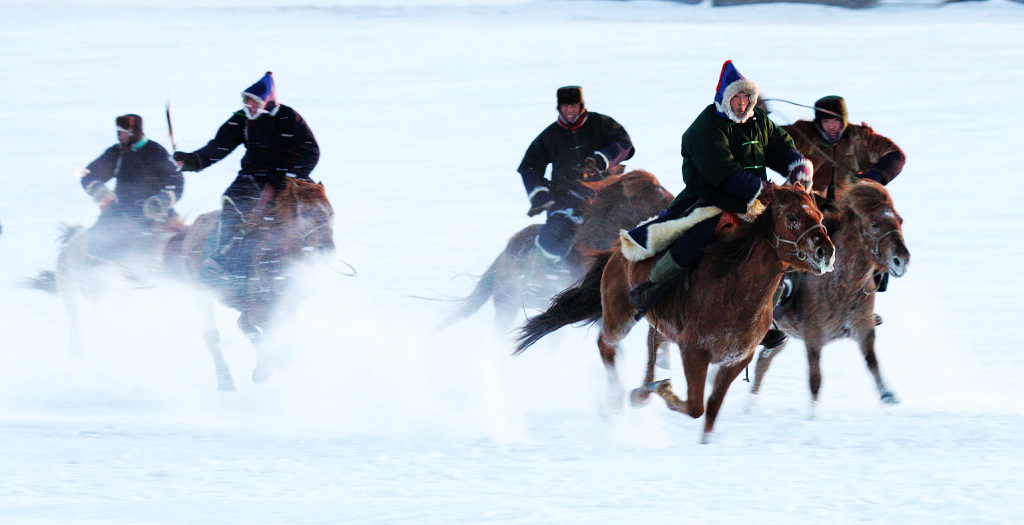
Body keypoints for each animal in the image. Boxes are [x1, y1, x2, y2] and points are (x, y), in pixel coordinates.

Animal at [161, 178, 333, 390]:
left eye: (330, 212)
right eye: (305, 213)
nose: (328, 248)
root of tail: (190, 231)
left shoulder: (287, 306)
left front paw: (279, 360)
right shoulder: (256, 311)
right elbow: (253, 330)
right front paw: (263, 370)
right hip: (202, 296)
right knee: (212, 338)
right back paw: (225, 381)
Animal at [516, 184, 835, 442]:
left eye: (819, 216)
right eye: (791, 217)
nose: (826, 252)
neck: (736, 288)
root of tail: (617, 249)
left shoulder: (736, 359)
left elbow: (711, 410)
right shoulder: (694, 351)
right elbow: (695, 408)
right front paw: (662, 390)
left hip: (657, 324)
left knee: (650, 349)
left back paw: (640, 392)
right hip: (620, 315)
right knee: (606, 346)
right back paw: (620, 398)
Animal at [749, 182, 909, 407]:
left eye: (900, 220)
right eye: (874, 224)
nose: (901, 260)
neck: (840, 285)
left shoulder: (863, 329)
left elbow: (872, 362)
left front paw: (887, 394)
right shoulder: (813, 337)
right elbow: (815, 382)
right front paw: (813, 413)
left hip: (779, 334)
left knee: (762, 362)